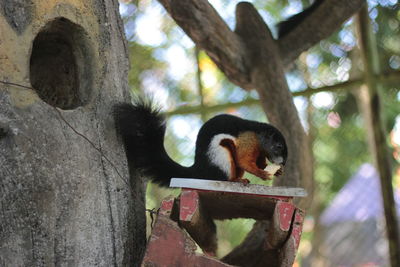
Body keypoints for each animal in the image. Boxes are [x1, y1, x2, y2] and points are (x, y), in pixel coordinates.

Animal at [113, 99, 288, 188]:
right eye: (278, 146)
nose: (283, 163)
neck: (259, 137)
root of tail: (199, 170)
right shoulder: (248, 141)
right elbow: (244, 160)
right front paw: (261, 173)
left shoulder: (259, 151)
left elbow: (259, 161)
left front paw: (276, 171)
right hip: (221, 158)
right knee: (224, 176)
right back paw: (235, 181)